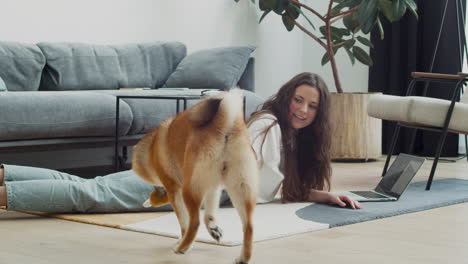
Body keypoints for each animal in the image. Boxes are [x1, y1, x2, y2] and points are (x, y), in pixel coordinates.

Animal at [132, 89, 260, 264]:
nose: (155, 192)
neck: (153, 147)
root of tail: (224, 124)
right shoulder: (213, 188)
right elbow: (210, 213)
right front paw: (213, 229)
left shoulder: (174, 190)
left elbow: (184, 222)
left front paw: (181, 240)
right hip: (241, 189)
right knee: (249, 226)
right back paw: (243, 257)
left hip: (190, 190)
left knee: (194, 222)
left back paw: (182, 248)